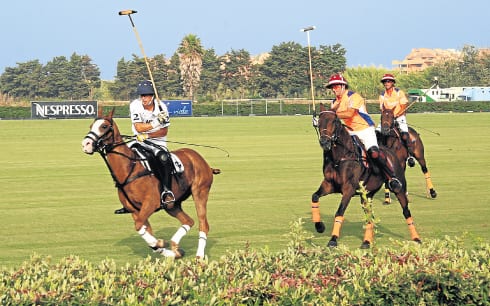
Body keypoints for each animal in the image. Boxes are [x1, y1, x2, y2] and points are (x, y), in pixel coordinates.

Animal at [81, 107, 219, 258]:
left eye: (104, 126)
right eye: (90, 126)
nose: (86, 144)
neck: (129, 169)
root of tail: (202, 160)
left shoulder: (150, 203)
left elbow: (139, 226)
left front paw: (161, 244)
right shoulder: (135, 210)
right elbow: (145, 233)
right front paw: (163, 247)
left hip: (200, 192)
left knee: (203, 224)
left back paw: (199, 256)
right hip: (172, 205)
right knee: (189, 221)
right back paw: (175, 248)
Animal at [310, 103, 422, 249]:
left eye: (334, 121)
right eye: (319, 122)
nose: (324, 142)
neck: (340, 156)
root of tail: (390, 151)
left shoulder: (349, 188)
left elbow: (339, 212)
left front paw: (333, 240)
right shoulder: (329, 184)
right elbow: (314, 197)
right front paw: (319, 226)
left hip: (399, 188)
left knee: (406, 211)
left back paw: (416, 238)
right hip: (367, 194)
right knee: (369, 215)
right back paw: (367, 242)